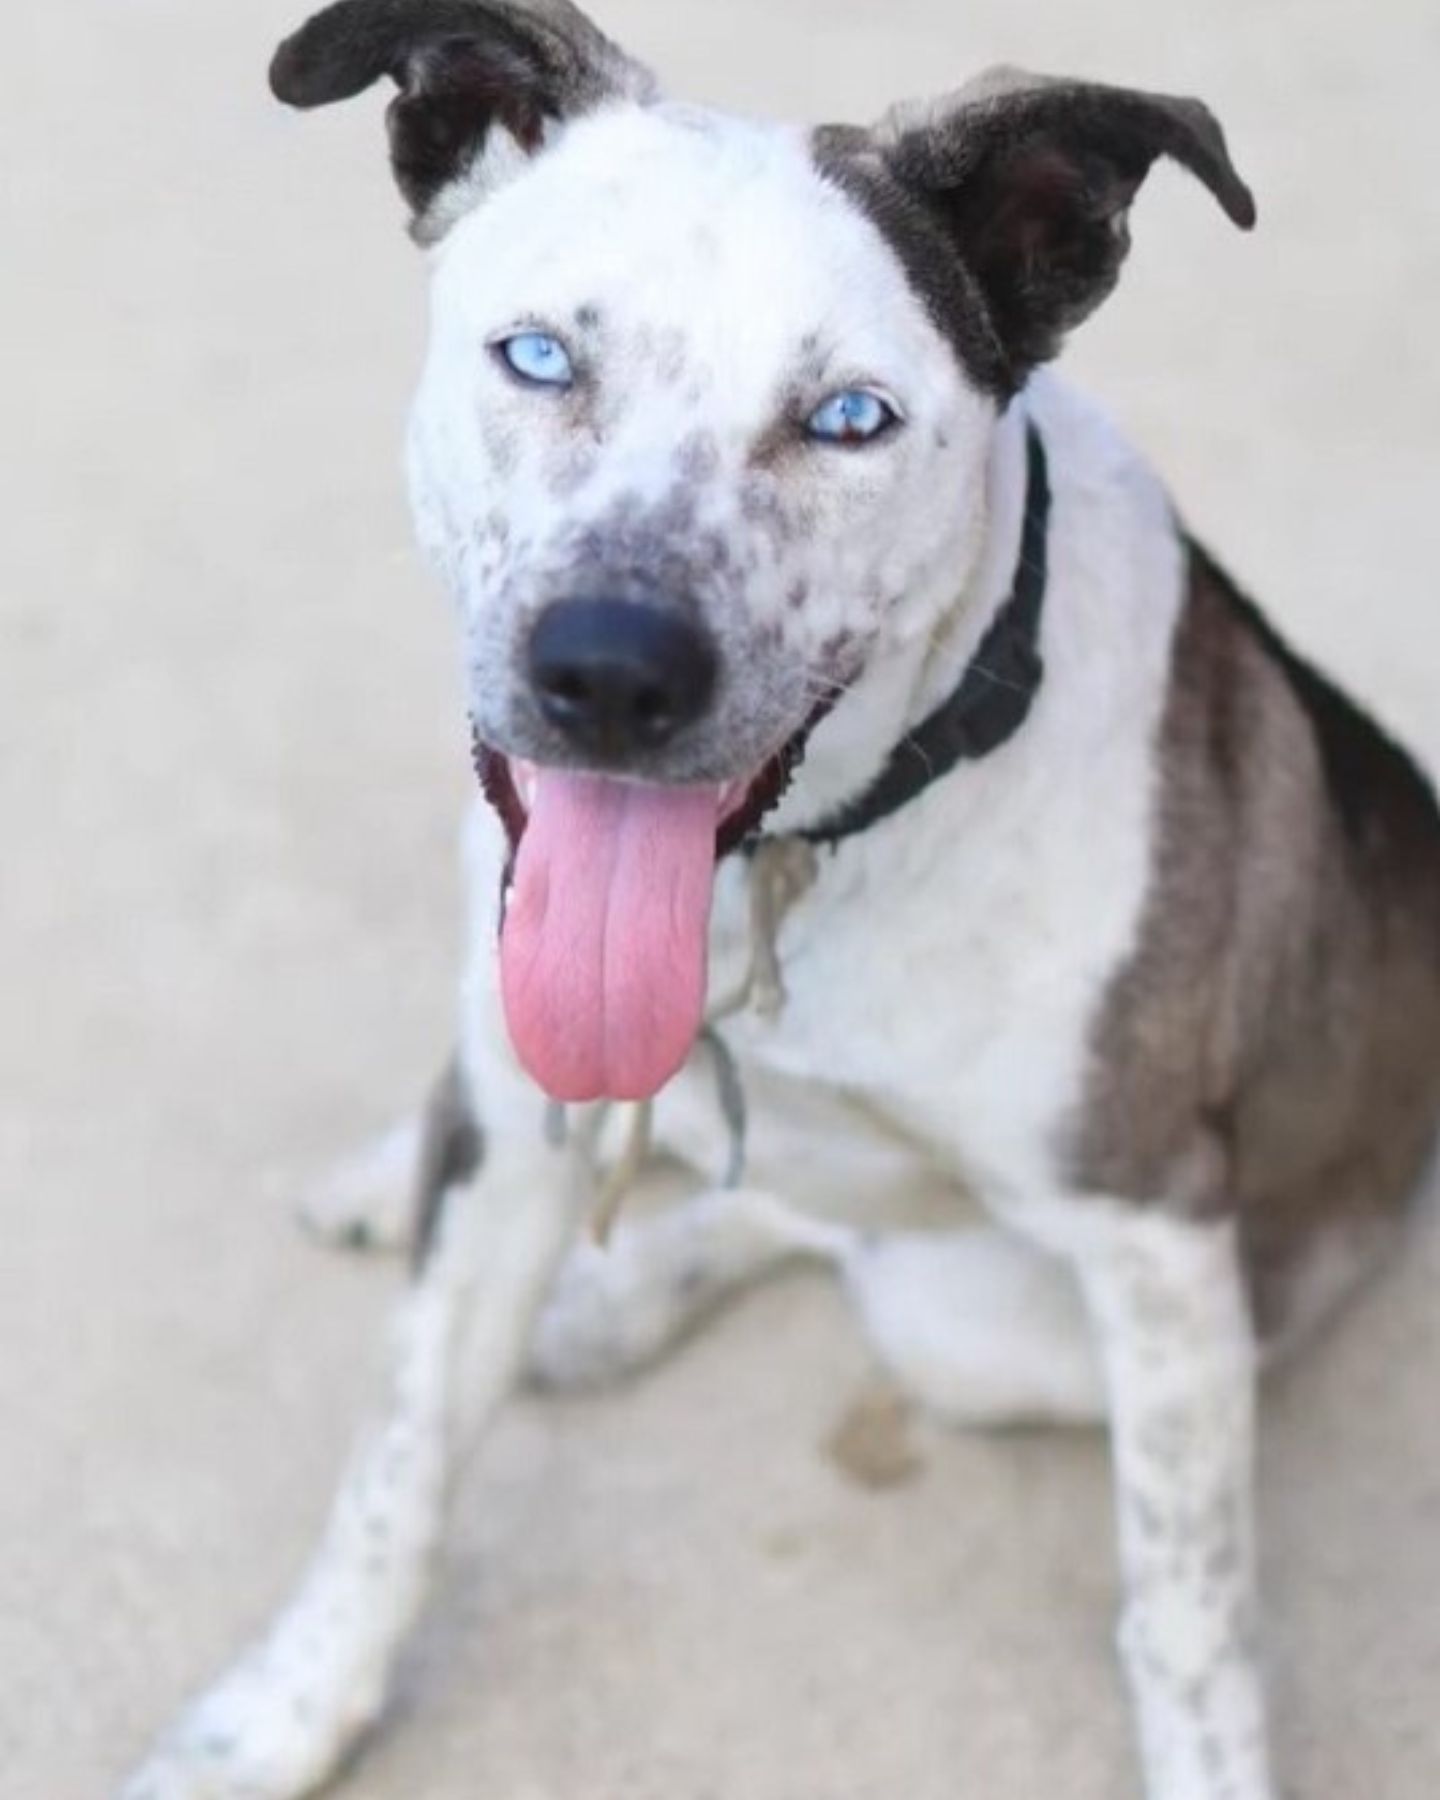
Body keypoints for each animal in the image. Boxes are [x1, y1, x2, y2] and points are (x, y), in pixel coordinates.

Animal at [124, 3, 1440, 1800]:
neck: (788, 875)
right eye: (541, 358)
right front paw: (281, 1713)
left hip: (1014, 1330)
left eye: (850, 419)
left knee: (833, 1225)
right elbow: (396, 1463)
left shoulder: (1161, 1244)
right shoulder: (516, 1130)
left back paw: (614, 1293)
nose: (610, 673)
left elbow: (1186, 1615)